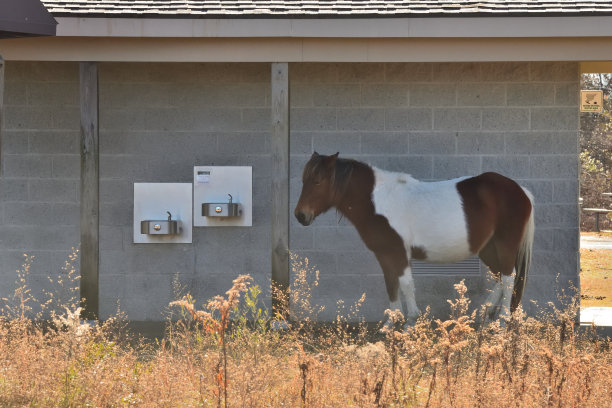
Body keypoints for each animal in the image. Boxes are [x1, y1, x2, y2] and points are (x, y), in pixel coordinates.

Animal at [294, 152, 532, 326]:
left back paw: (502, 321)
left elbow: (406, 284)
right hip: (488, 249)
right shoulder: (385, 254)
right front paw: (390, 323)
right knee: (500, 277)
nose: (300, 215)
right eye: (303, 179)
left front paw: (410, 321)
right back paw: (486, 313)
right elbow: (391, 285)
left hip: (505, 245)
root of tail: (521, 191)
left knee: (508, 278)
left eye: (317, 181)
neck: (378, 201)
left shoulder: (398, 252)